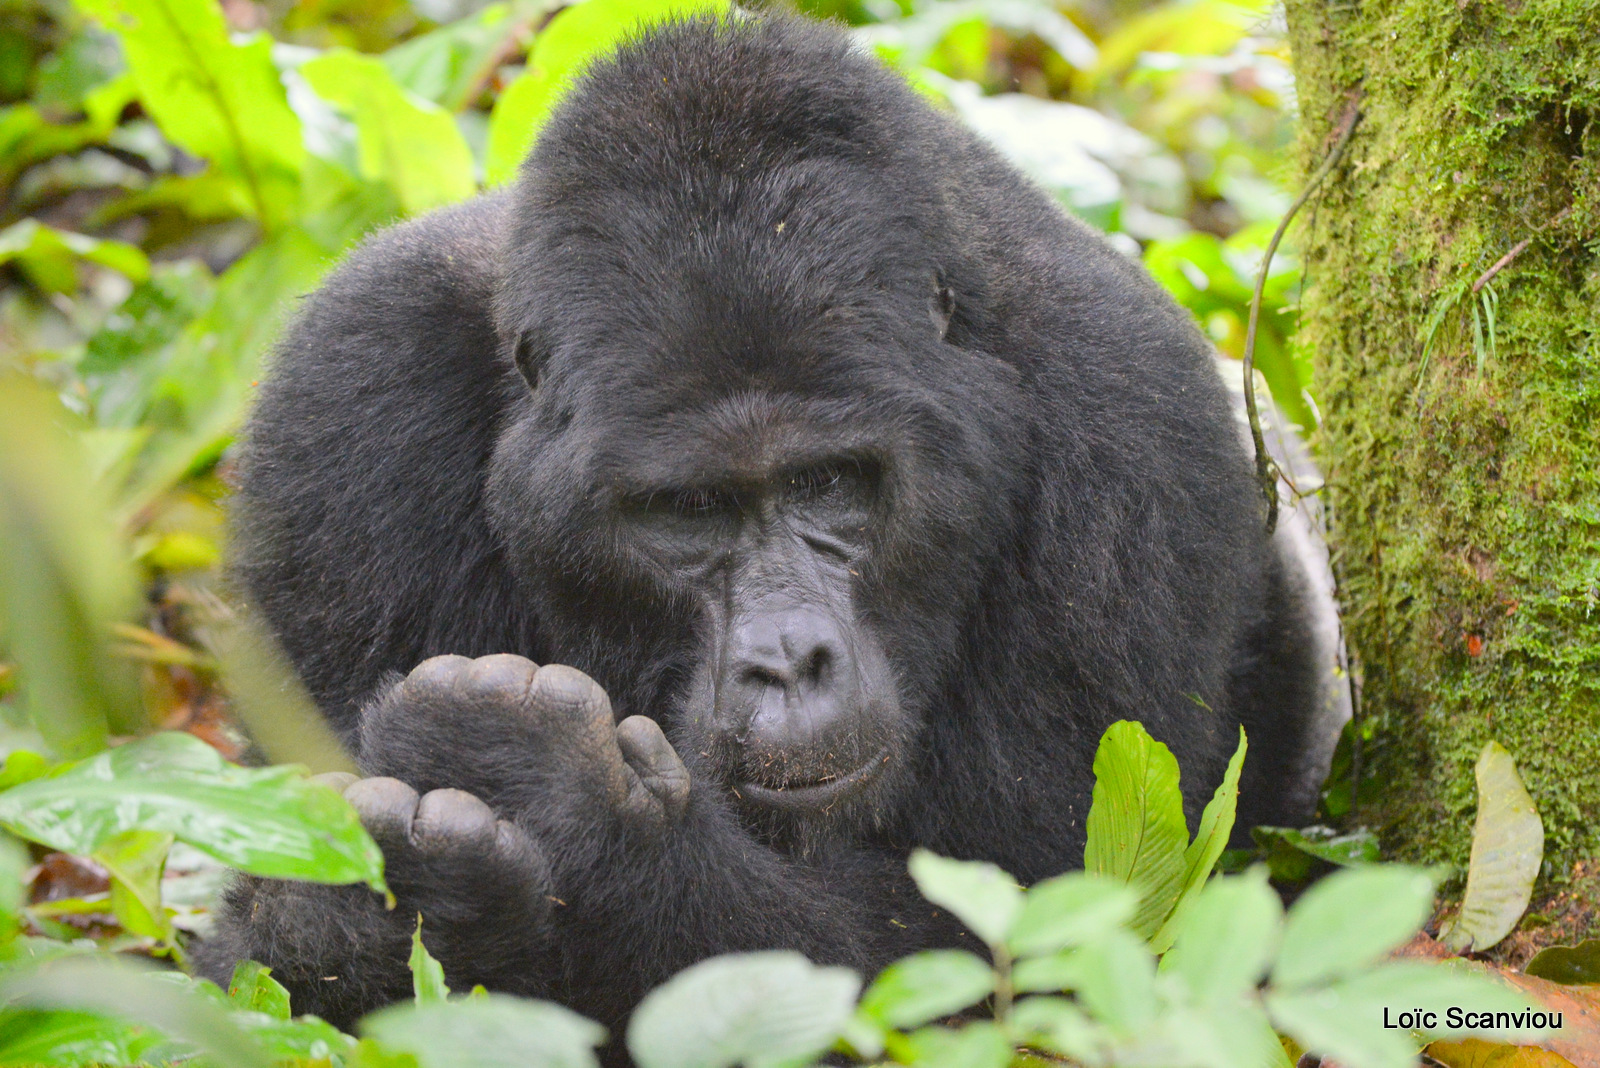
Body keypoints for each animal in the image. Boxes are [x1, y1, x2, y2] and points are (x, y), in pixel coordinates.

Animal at [203, 12, 1350, 1055]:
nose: (789, 659)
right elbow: (249, 960)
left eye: (830, 481)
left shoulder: (1134, 415)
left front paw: (576, 823)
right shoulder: (343, 394)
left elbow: (1033, 945)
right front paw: (385, 905)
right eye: (684, 510)